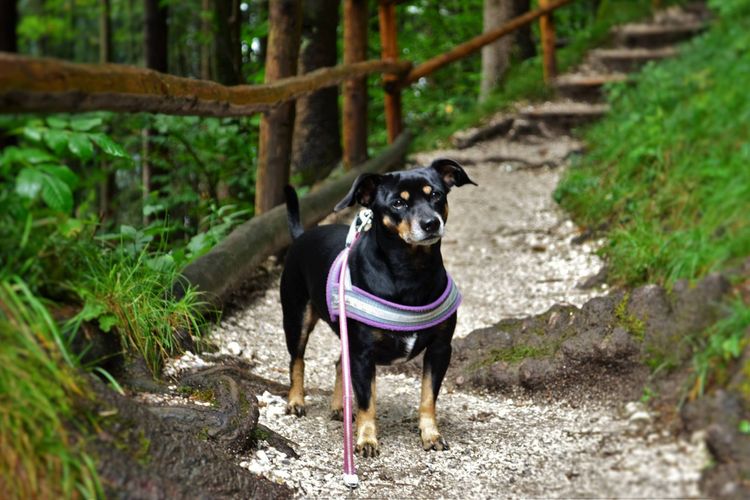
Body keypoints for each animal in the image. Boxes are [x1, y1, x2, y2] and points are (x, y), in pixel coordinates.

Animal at [280, 158, 478, 456]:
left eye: (436, 195)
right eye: (397, 203)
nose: (431, 223)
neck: (411, 271)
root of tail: (301, 236)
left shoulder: (440, 349)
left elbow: (428, 397)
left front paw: (431, 434)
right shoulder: (363, 353)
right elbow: (367, 401)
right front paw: (366, 440)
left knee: (339, 363)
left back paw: (339, 407)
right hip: (296, 318)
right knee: (297, 360)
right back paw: (296, 401)